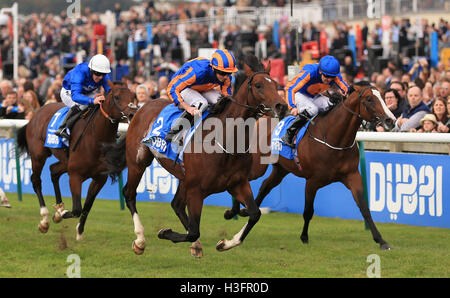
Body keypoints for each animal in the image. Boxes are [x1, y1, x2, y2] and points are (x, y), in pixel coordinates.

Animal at [16, 81, 136, 240]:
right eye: (116, 97)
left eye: (133, 96)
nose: (133, 113)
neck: (96, 138)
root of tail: (36, 113)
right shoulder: (75, 175)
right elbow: (77, 209)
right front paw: (59, 215)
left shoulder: (99, 178)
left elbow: (87, 206)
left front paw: (79, 231)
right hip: (38, 155)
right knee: (36, 180)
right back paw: (45, 220)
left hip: (65, 161)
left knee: (53, 171)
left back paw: (58, 206)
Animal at [103, 54, 286, 255]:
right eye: (259, 85)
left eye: (275, 84)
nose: (282, 106)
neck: (226, 141)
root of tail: (140, 108)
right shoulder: (196, 190)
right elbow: (193, 231)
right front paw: (164, 232)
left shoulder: (238, 183)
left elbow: (255, 214)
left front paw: (225, 243)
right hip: (138, 161)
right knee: (129, 193)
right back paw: (140, 240)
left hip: (183, 176)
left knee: (176, 204)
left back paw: (195, 246)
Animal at [227, 81, 396, 249]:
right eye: (369, 99)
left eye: (382, 96)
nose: (391, 120)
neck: (334, 138)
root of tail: (259, 119)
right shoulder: (312, 181)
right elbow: (308, 211)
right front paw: (304, 237)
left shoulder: (352, 176)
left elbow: (364, 208)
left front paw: (381, 240)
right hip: (257, 167)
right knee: (241, 179)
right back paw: (233, 211)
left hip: (281, 169)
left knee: (265, 185)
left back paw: (245, 210)